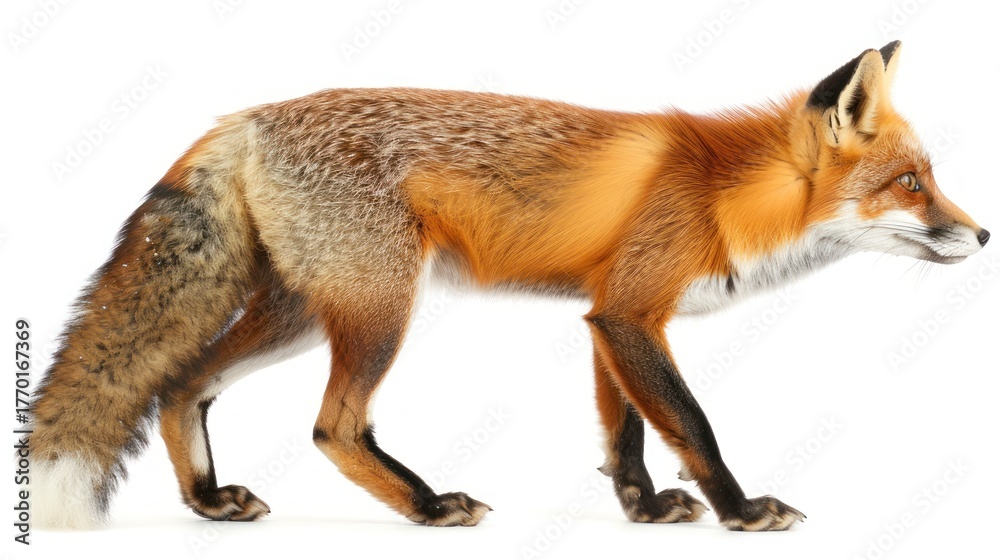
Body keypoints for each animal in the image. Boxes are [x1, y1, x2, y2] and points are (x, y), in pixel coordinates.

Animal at [28, 40, 988, 532]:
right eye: (912, 184)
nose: (982, 234)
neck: (725, 193)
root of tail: (245, 118)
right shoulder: (633, 313)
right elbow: (692, 424)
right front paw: (741, 509)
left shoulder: (610, 314)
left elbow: (624, 433)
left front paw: (642, 508)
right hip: (380, 307)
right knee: (333, 425)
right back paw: (425, 505)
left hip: (303, 310)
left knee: (181, 384)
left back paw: (207, 501)